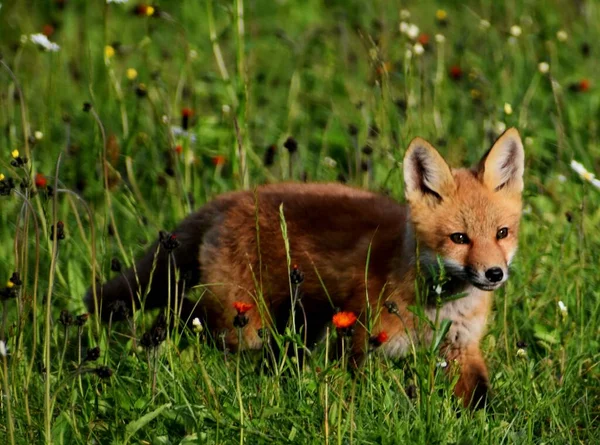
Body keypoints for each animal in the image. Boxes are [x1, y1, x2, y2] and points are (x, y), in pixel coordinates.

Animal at [85, 127, 524, 406]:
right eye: (459, 238)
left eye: (502, 233)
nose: (494, 274)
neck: (435, 309)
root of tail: (230, 198)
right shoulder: (356, 341)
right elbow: (354, 386)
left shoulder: (461, 349)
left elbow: (483, 396)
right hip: (241, 322)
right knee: (185, 318)